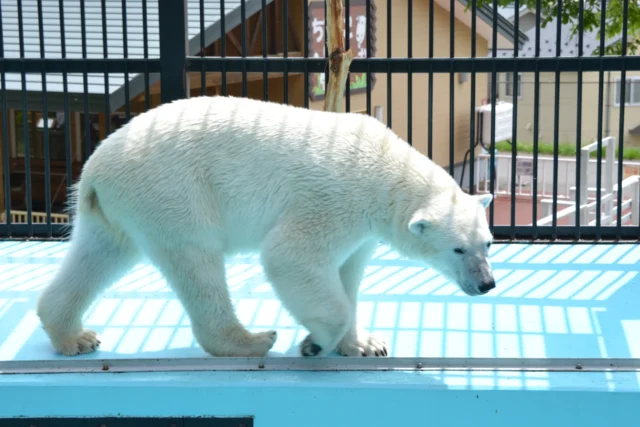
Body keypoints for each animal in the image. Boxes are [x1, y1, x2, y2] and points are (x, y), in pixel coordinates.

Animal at [35, 95, 496, 360]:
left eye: (487, 244)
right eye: (457, 249)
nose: (487, 284)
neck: (384, 169)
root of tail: (95, 168)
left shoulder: (363, 229)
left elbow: (348, 272)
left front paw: (364, 344)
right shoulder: (332, 199)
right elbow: (290, 257)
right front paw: (316, 342)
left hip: (116, 208)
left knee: (99, 254)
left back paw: (75, 336)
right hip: (174, 189)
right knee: (196, 260)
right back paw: (251, 340)